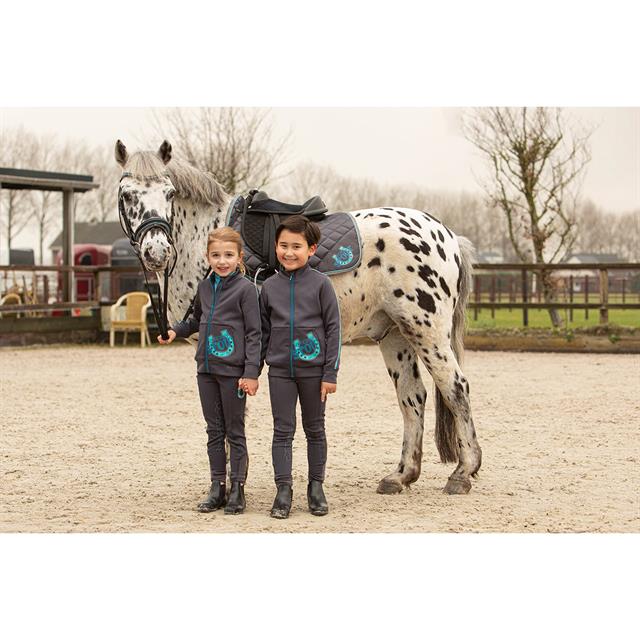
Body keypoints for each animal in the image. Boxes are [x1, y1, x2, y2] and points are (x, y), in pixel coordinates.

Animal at [115, 139, 482, 495]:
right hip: (395, 334)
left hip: (426, 330)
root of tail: (447, 235)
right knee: (412, 396)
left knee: (456, 387)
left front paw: (231, 487)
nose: (157, 251)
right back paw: (401, 475)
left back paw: (463, 473)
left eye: (169, 193)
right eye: (127, 194)